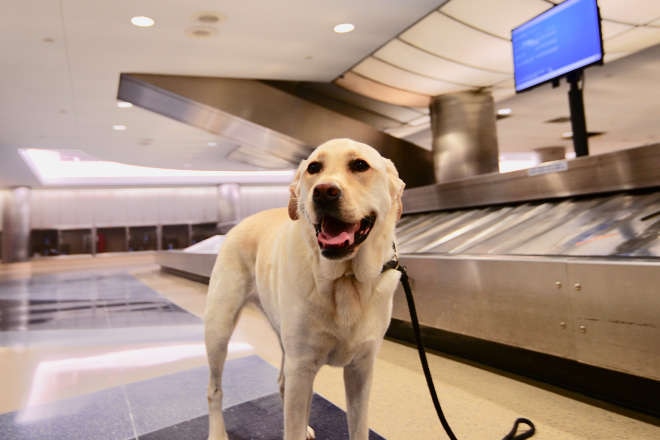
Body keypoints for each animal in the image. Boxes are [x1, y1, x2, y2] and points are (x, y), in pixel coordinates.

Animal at [204, 138, 404, 440]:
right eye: (314, 168)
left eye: (360, 165)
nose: (324, 192)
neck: (345, 279)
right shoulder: (302, 366)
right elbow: (292, 427)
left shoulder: (360, 370)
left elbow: (359, 428)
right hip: (219, 330)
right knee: (214, 391)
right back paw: (217, 432)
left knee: (282, 382)